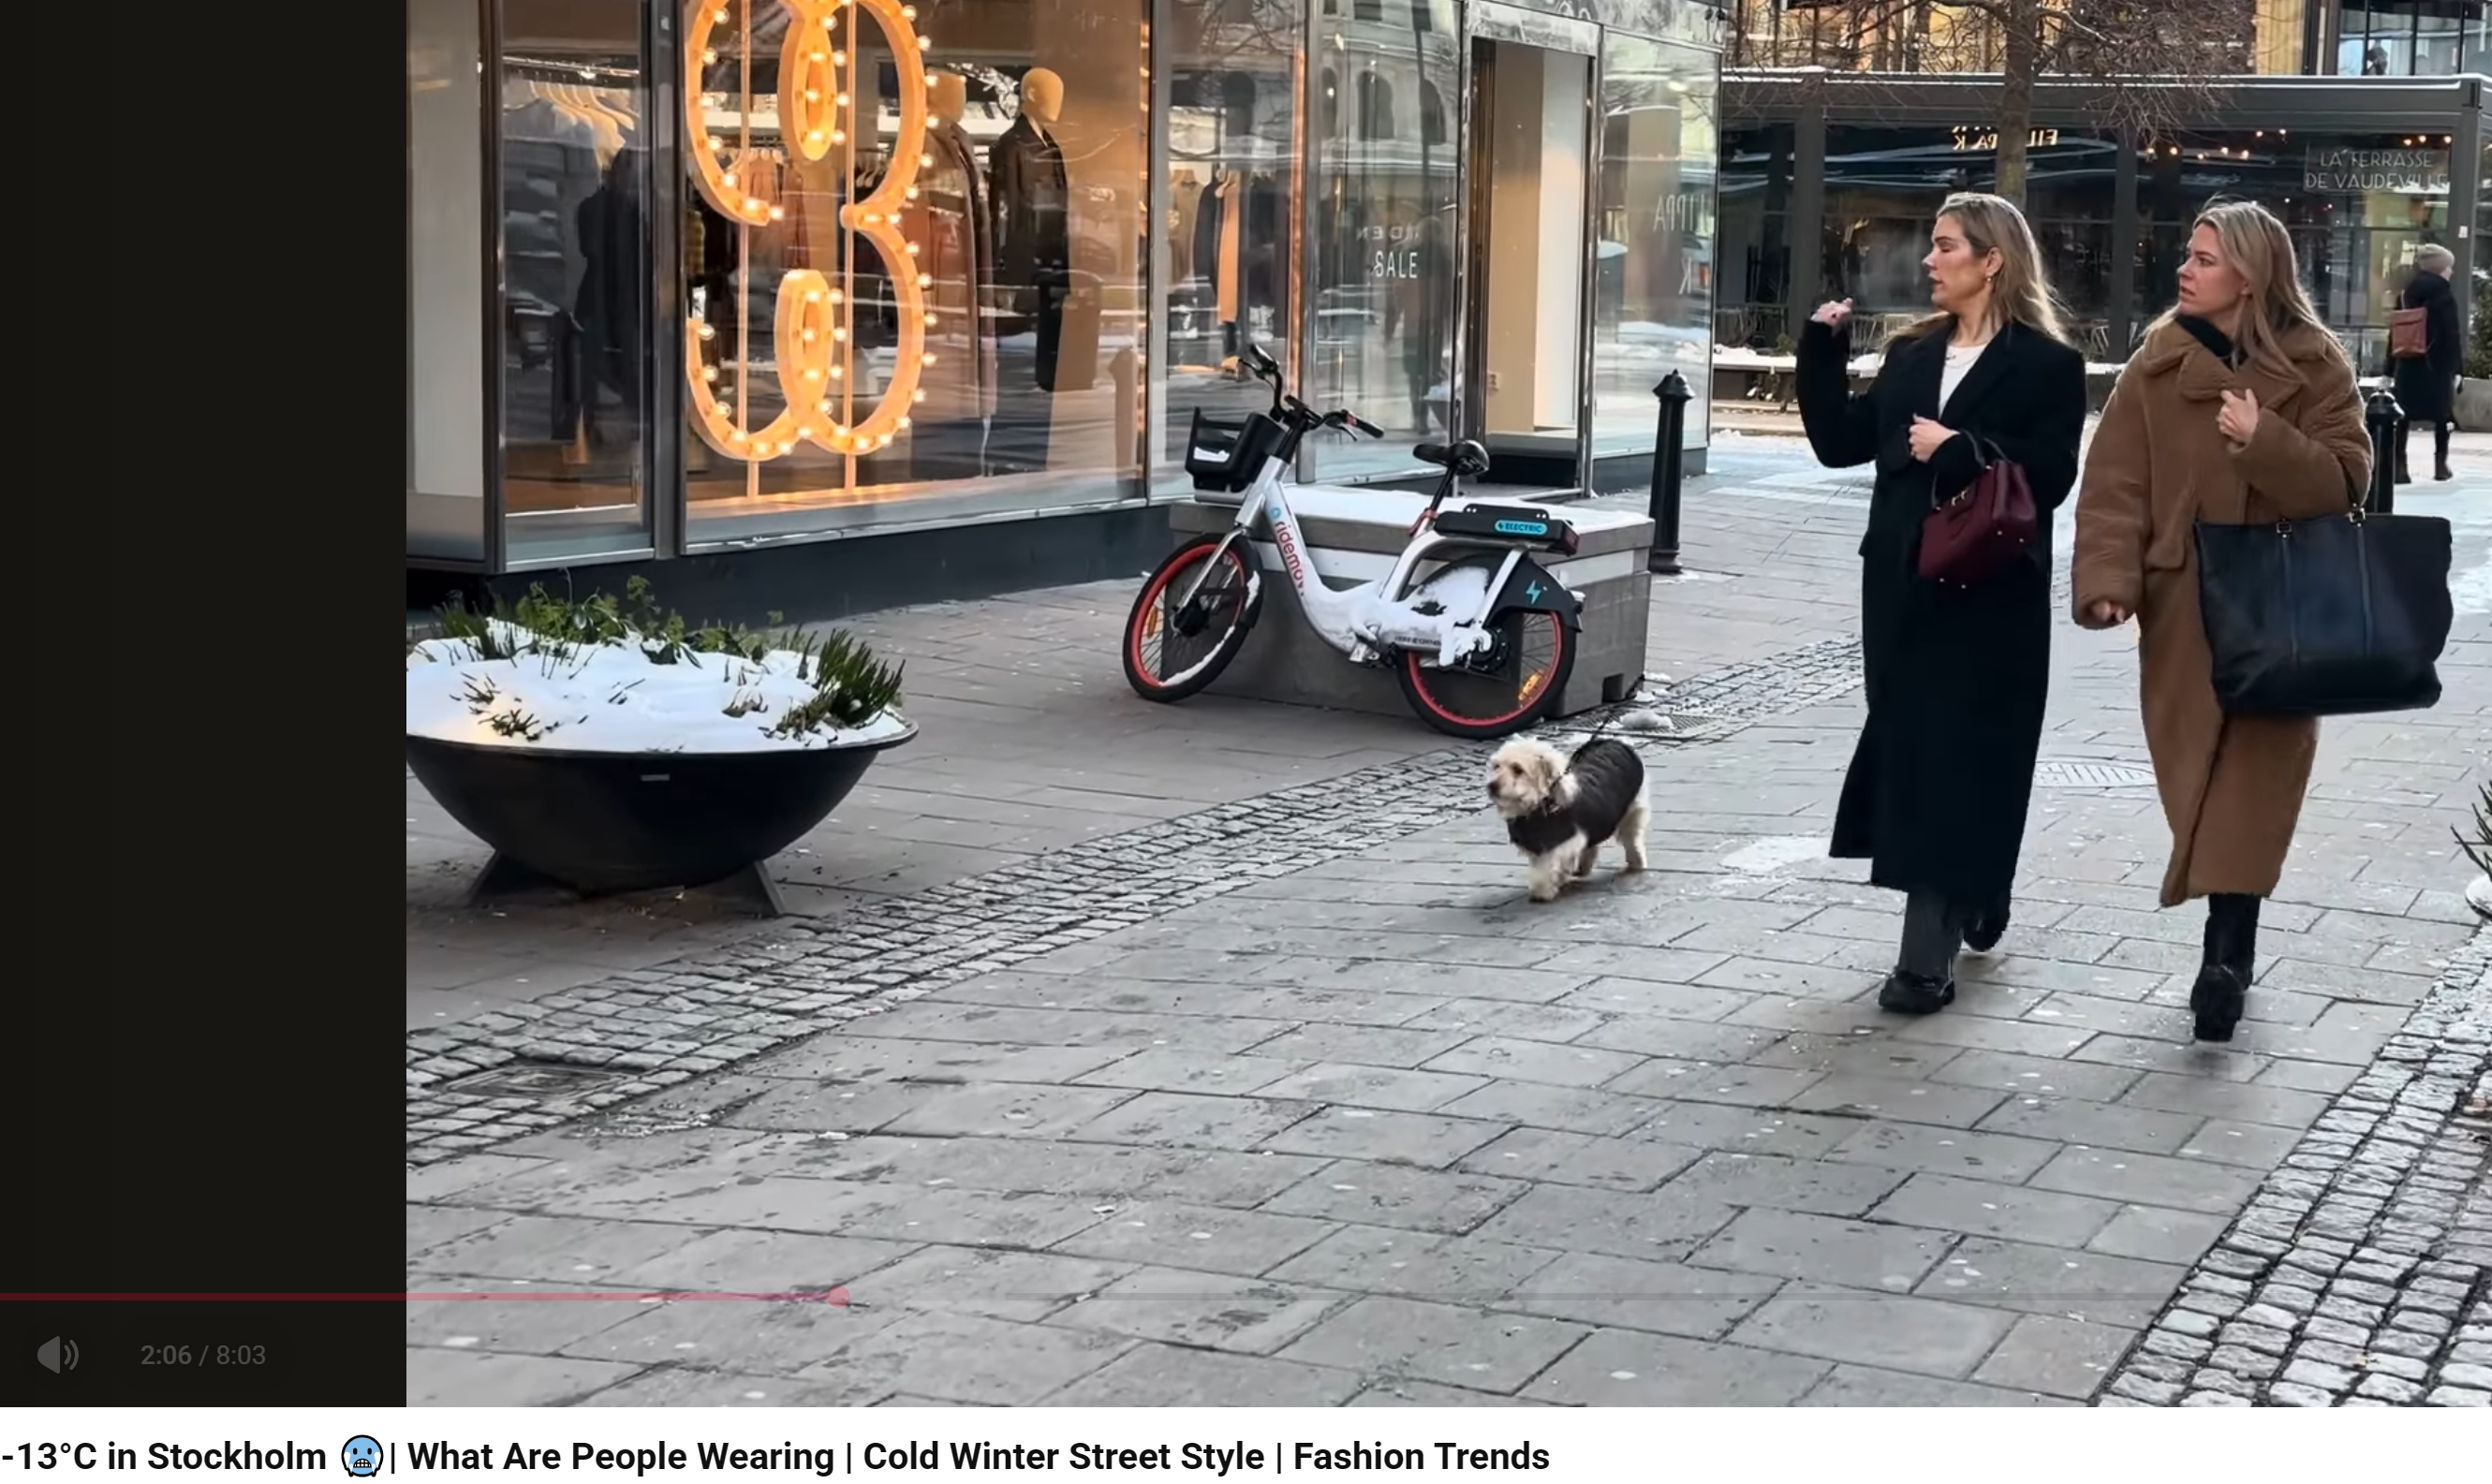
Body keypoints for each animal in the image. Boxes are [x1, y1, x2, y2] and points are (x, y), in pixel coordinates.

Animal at [1486, 736, 1649, 902]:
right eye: (1496, 766)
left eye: (1518, 769)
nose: (1492, 785)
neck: (1541, 805)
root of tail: (1611, 741)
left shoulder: (1564, 842)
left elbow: (1548, 865)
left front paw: (1543, 889)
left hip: (1632, 809)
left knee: (1630, 838)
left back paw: (1635, 861)